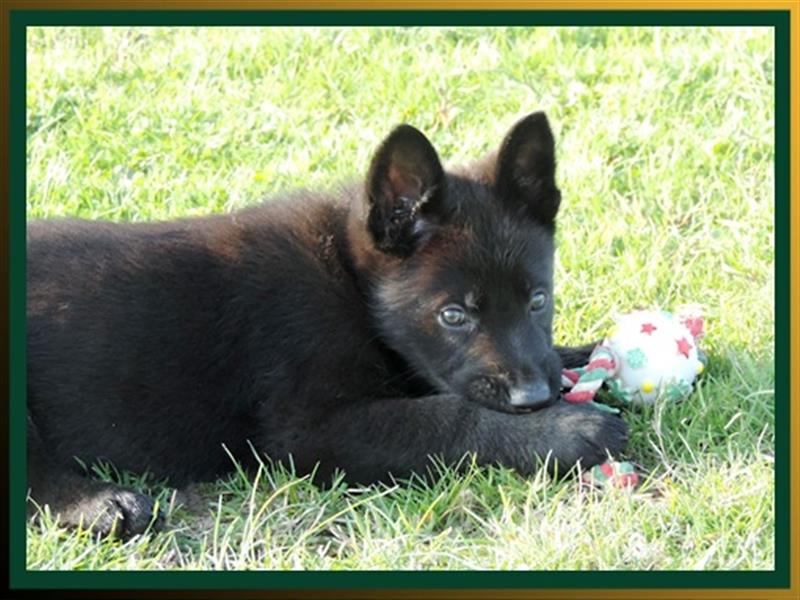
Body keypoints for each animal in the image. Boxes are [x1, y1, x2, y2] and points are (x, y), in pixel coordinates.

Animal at [28, 112, 628, 540]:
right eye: (453, 315)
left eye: (538, 300)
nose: (534, 399)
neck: (349, 280)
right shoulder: (308, 428)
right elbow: (445, 418)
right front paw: (567, 432)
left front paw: (586, 357)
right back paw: (102, 505)